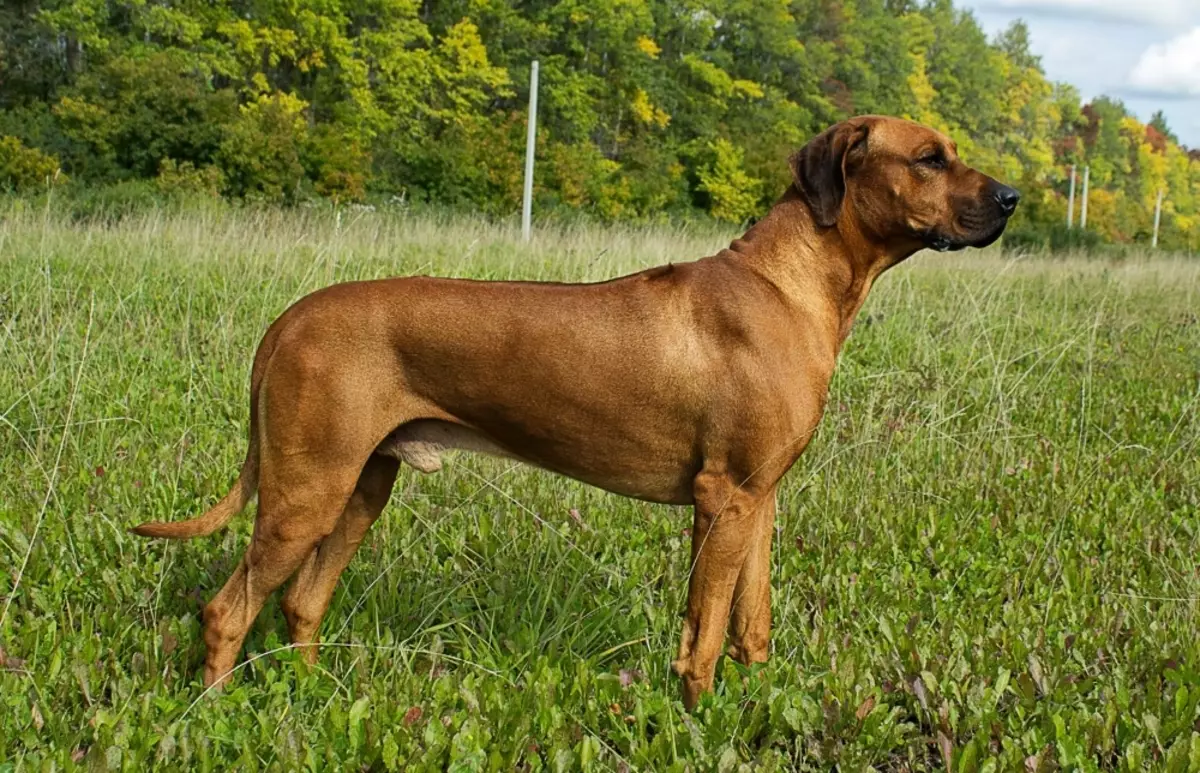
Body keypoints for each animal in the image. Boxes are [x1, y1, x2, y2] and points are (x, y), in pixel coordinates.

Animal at [131, 113, 1017, 705]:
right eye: (930, 158)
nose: (1011, 197)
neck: (790, 282)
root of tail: (288, 318)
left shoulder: (759, 498)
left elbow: (751, 624)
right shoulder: (722, 498)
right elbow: (702, 634)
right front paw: (699, 722)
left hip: (360, 485)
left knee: (301, 601)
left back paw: (311, 697)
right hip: (306, 490)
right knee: (225, 610)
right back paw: (211, 713)